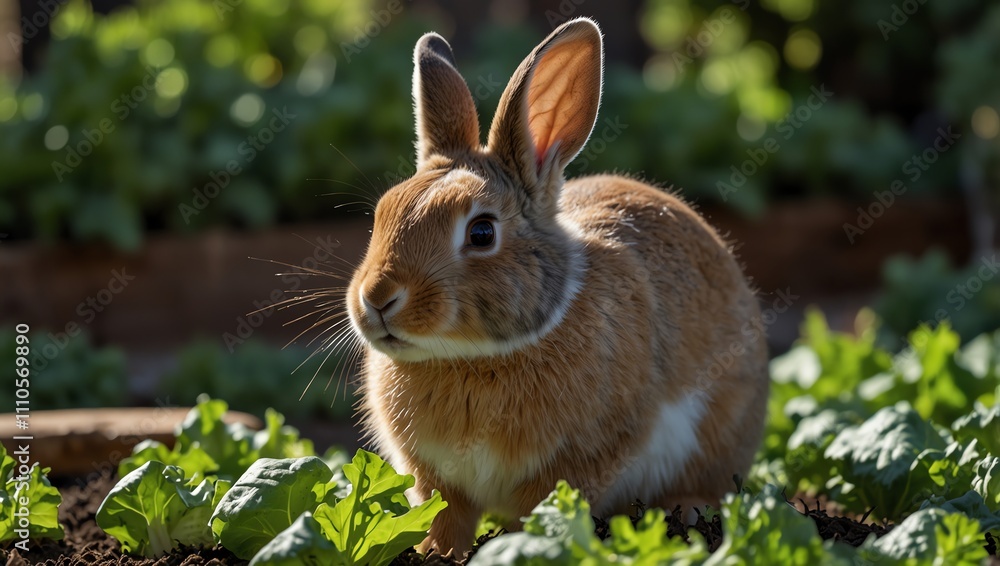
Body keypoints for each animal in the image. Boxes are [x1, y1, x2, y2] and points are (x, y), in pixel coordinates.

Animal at [345, 17, 769, 556]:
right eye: (382, 214)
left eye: (481, 233)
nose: (377, 299)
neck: (472, 356)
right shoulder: (436, 477)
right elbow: (445, 517)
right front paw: (435, 554)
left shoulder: (583, 459)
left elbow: (540, 511)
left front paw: (516, 549)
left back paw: (689, 510)